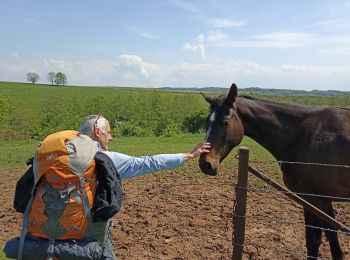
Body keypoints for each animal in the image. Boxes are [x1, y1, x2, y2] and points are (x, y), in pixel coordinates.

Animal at [200, 83, 350, 260]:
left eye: (225, 122)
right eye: (207, 122)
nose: (205, 164)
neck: (305, 135)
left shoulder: (315, 200)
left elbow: (314, 241)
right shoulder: (322, 200)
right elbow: (332, 235)